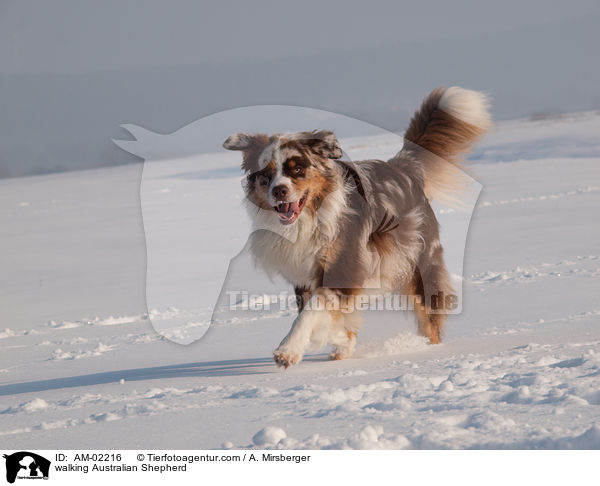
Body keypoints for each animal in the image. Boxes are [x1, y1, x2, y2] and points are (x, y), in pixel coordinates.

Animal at [223, 88, 490, 368]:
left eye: (297, 168)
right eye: (266, 174)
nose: (279, 191)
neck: (311, 217)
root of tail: (402, 166)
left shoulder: (343, 267)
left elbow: (309, 314)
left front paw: (288, 350)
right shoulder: (304, 275)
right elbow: (326, 315)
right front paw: (335, 340)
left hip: (421, 261)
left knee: (430, 319)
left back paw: (433, 351)